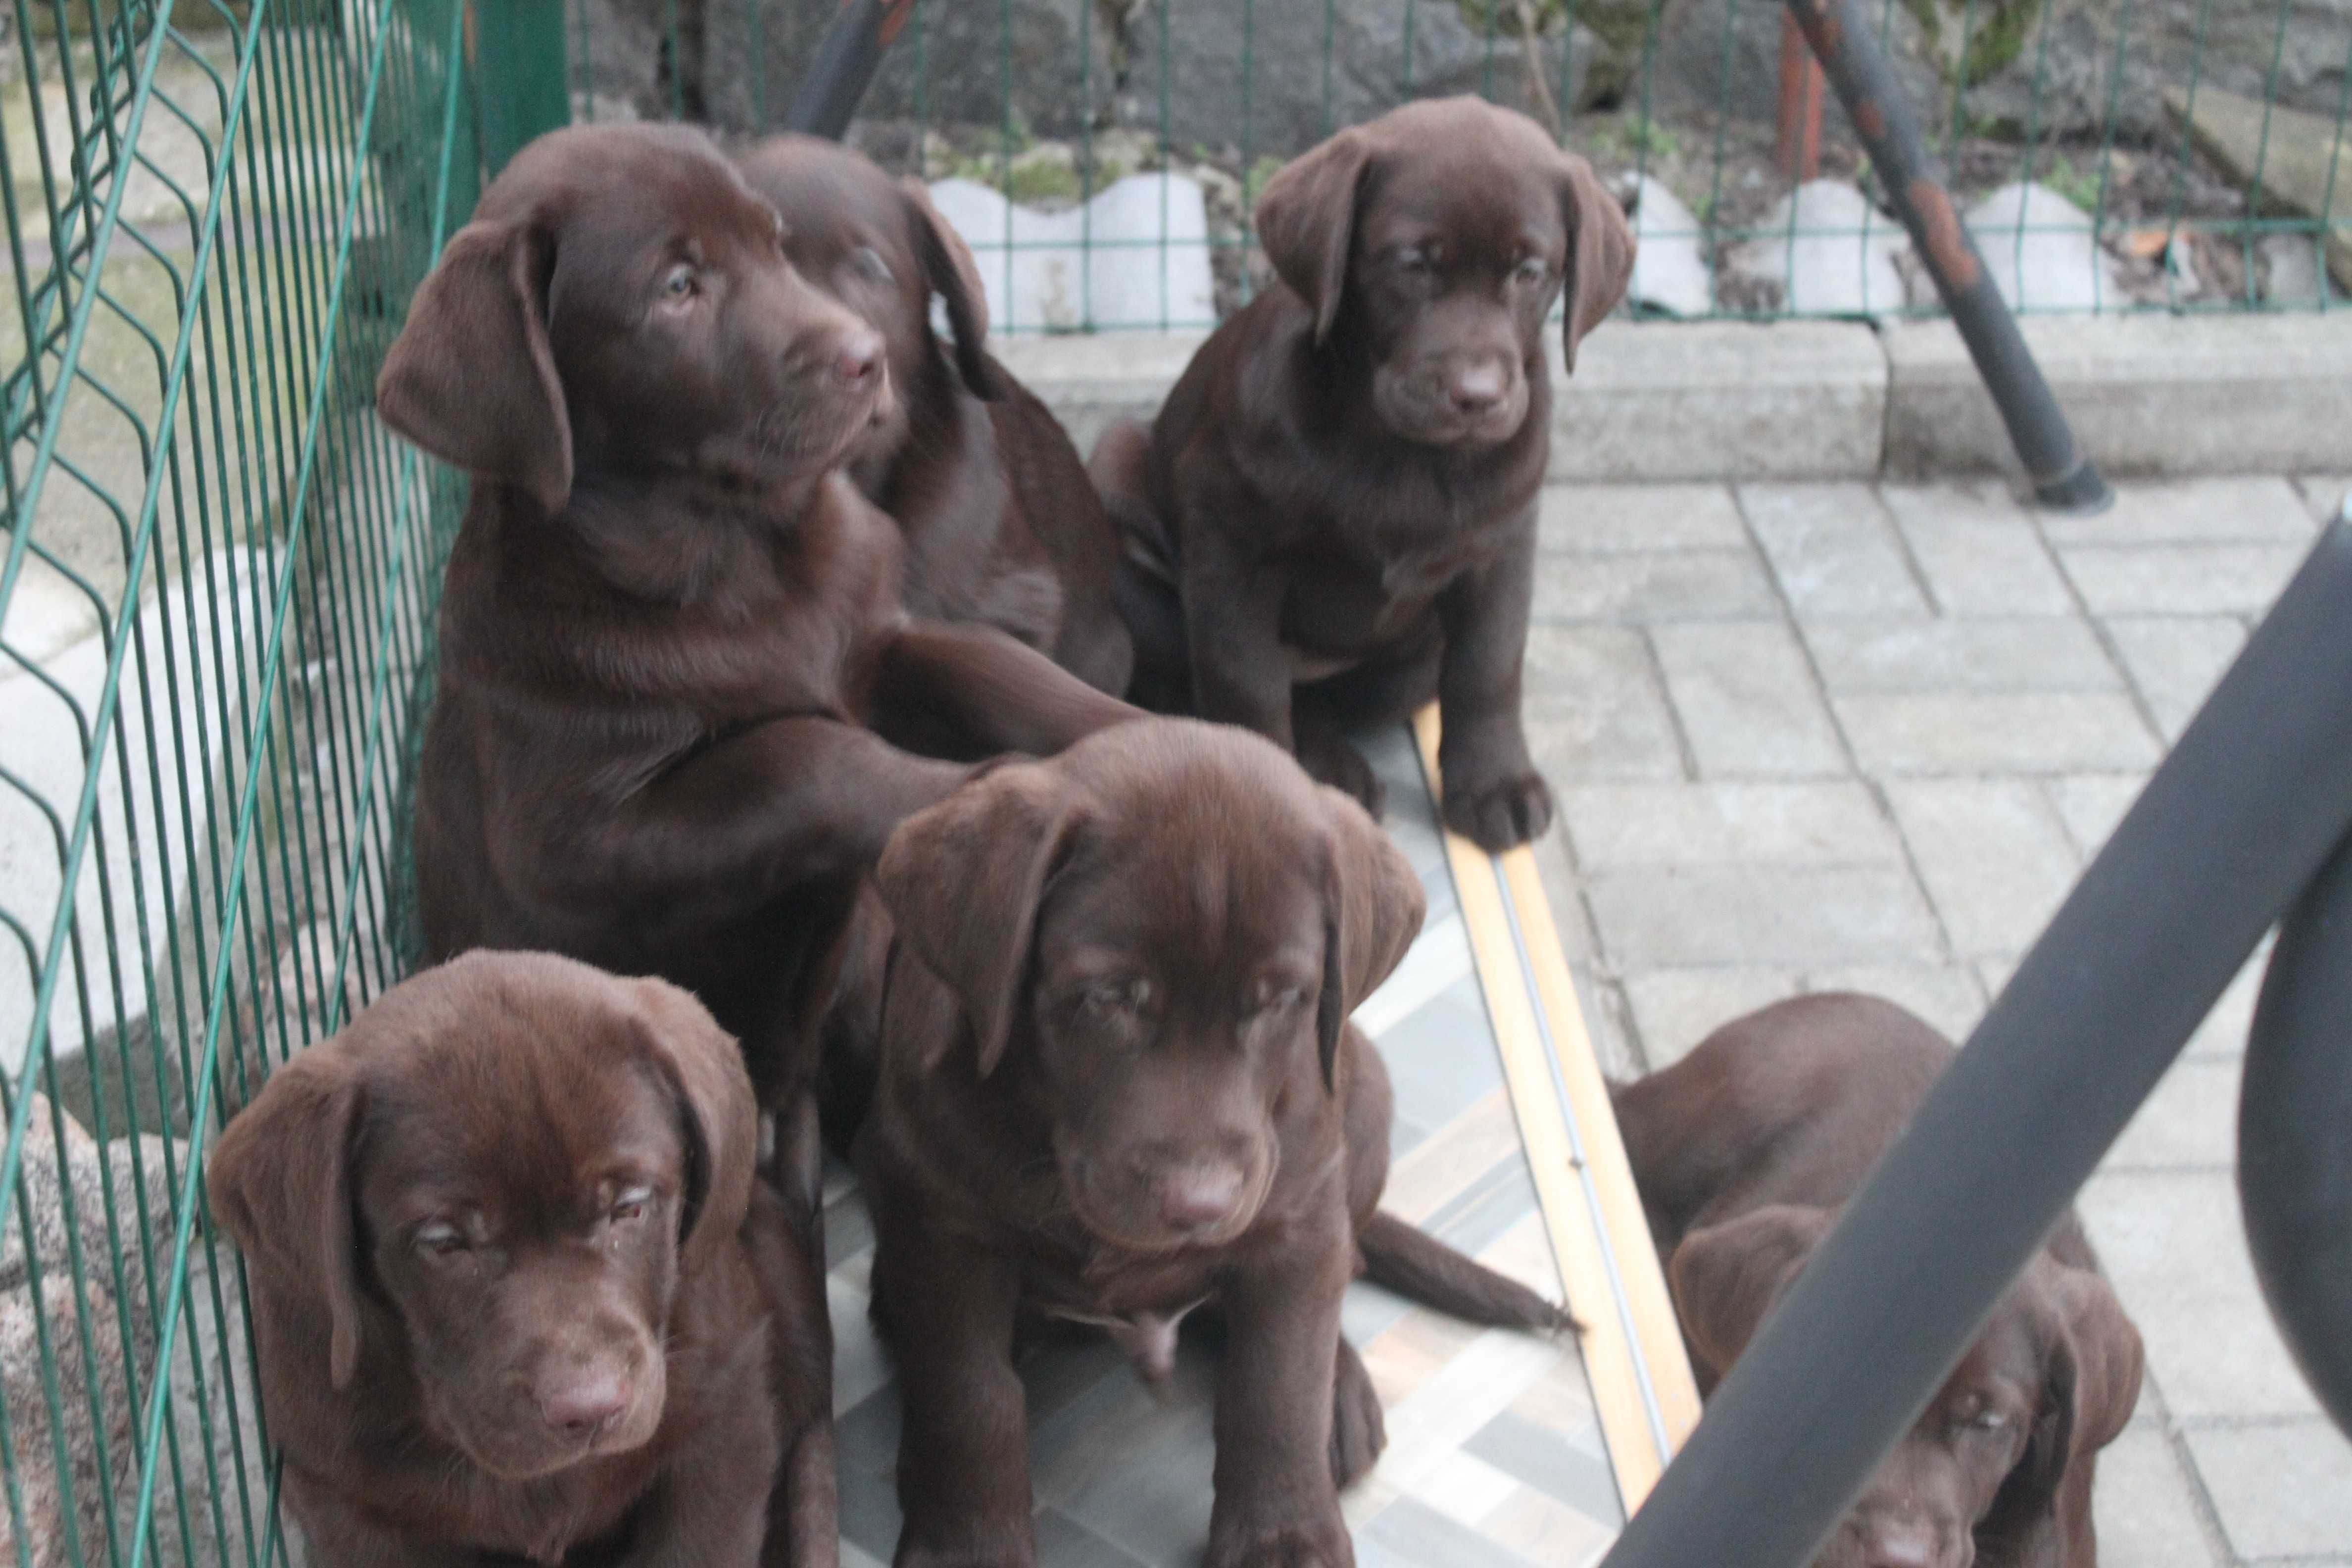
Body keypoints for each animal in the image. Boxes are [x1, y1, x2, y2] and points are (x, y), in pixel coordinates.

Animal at [207, 949, 842, 1561]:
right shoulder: (345, 1500)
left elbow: (700, 1543)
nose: (590, 1409)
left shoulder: (724, 1412)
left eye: (629, 1207)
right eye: (444, 1242)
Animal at [1086, 101, 1627, 846]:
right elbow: (1245, 681)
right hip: (1117, 483)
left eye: (1530, 271)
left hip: (1412, 659)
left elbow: (1489, 666)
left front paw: (1496, 785)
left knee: (1328, 699)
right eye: (1413, 265)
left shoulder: (1502, 549)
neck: (1403, 451)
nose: (1478, 396)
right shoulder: (1231, 552)